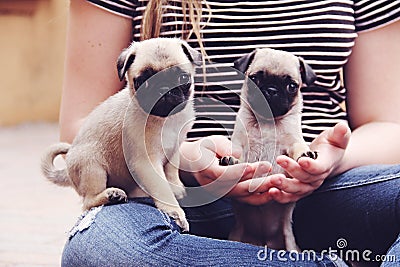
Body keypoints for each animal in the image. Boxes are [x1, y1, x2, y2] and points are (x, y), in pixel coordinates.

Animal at [42, 38, 202, 232]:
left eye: (183, 78)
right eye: (142, 80)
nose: (164, 88)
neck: (166, 119)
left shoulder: (174, 149)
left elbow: (172, 169)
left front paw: (176, 187)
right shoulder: (146, 164)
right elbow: (162, 188)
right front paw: (175, 212)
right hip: (92, 166)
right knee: (88, 202)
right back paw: (111, 195)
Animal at [220, 47, 318, 251]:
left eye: (291, 86)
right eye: (255, 78)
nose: (271, 90)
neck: (267, 121)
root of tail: (264, 241)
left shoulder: (292, 142)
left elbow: (298, 146)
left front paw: (305, 153)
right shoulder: (240, 143)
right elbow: (236, 152)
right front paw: (230, 159)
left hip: (288, 239)